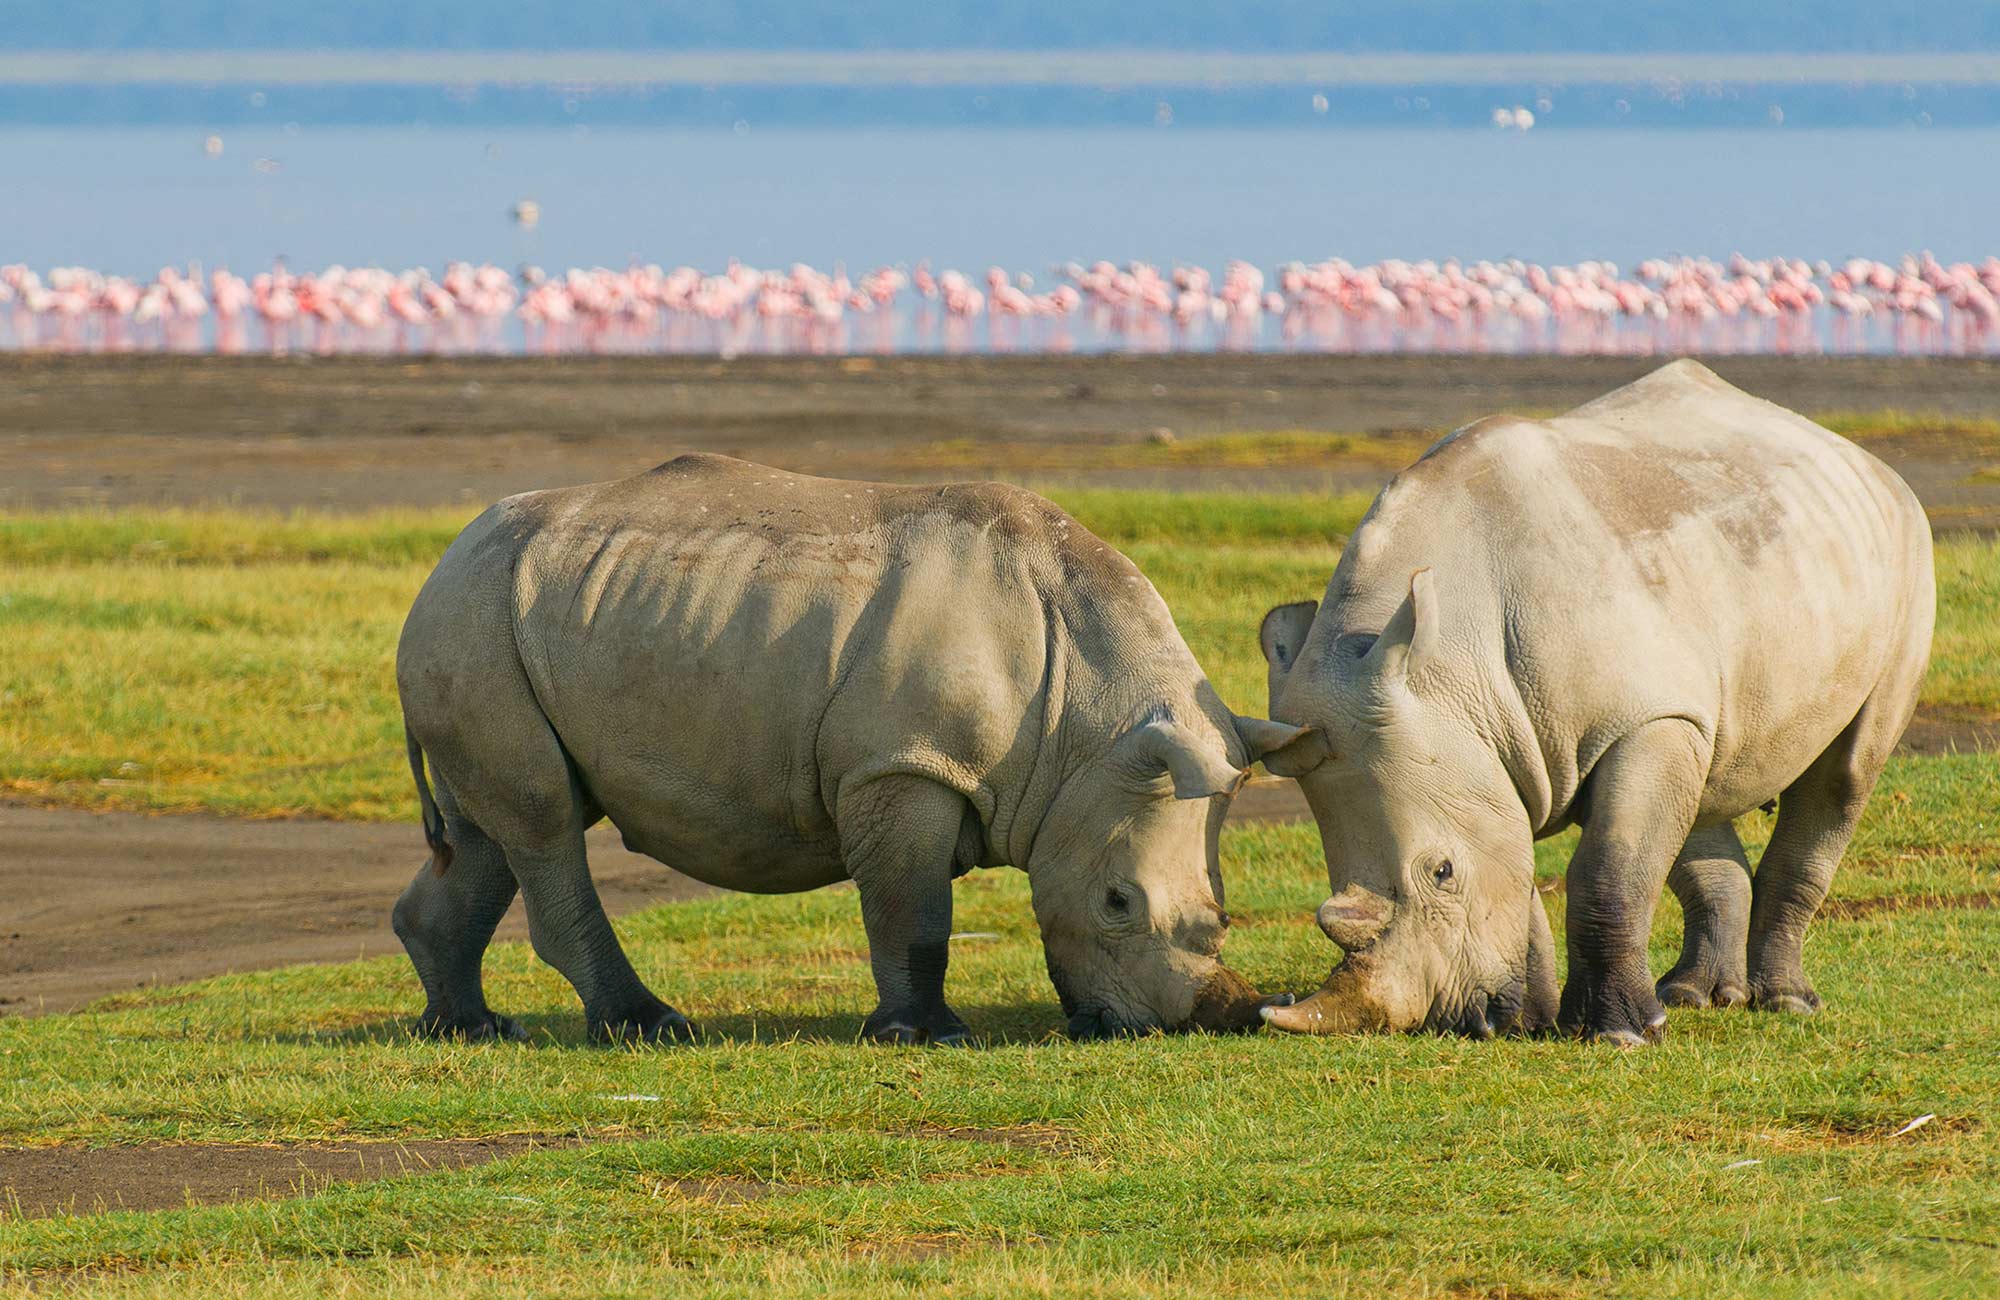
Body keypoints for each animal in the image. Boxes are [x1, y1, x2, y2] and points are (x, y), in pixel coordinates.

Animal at [393, 454, 1302, 1045]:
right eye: (1117, 902)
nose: (1201, 1020)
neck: (1088, 722)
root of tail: (443, 560)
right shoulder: (903, 764)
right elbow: (914, 907)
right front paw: (923, 1036)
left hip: (510, 620)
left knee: (492, 830)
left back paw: (470, 1029)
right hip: (475, 618)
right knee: (542, 819)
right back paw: (649, 1029)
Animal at [1254, 360, 1934, 1045]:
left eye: (1442, 871)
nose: (1462, 1022)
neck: (1450, 666)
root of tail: (1859, 457)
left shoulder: (1638, 718)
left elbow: (1608, 869)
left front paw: (1618, 1035)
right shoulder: (1493, 746)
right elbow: (1525, 867)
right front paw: (1540, 1019)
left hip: (1907, 550)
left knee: (1844, 775)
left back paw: (1786, 1003)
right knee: (1705, 777)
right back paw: (1695, 996)